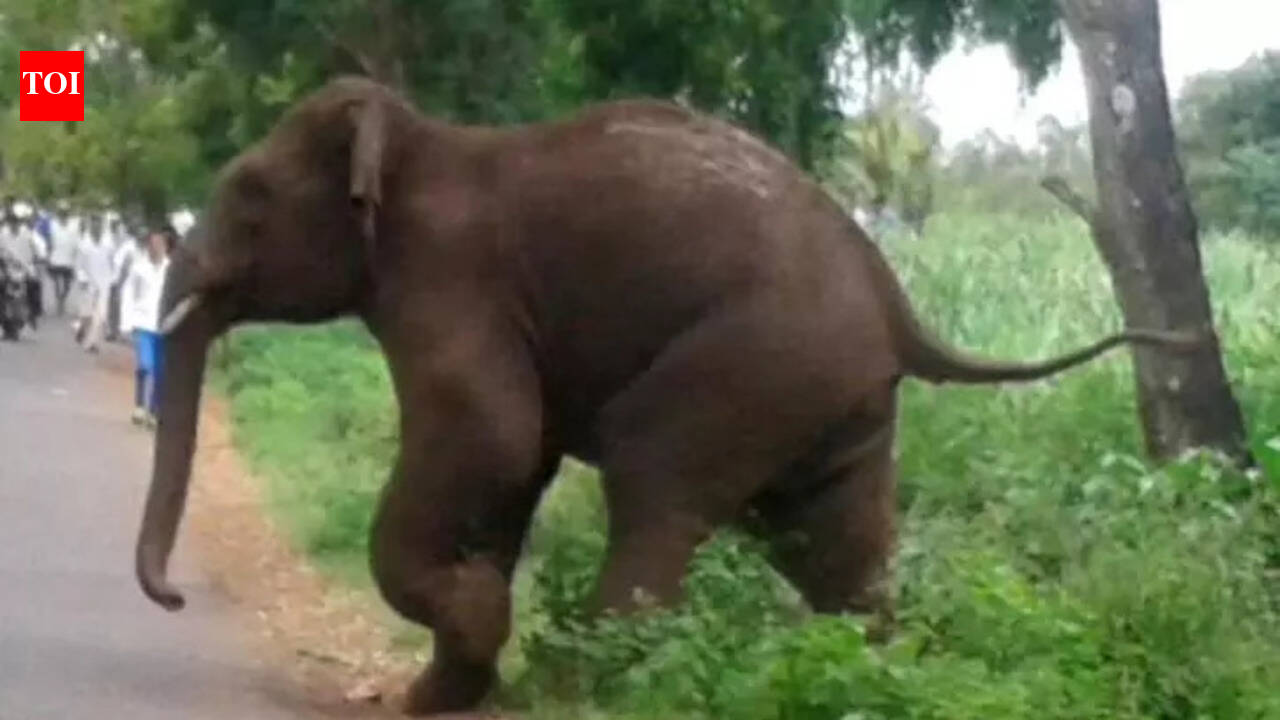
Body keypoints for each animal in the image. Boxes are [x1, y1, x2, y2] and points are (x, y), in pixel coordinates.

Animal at [134, 76, 1199, 715]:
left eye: (249, 197)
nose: (176, 597)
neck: (417, 136)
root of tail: (900, 308)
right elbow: (513, 462)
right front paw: (450, 677)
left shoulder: (448, 279)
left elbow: (492, 439)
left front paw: (470, 621)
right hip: (833, 397)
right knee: (833, 544)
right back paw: (872, 669)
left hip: (754, 363)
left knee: (656, 480)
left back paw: (580, 685)